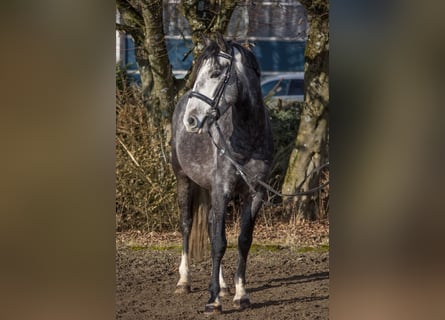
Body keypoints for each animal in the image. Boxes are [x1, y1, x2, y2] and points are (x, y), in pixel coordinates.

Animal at [171, 33, 272, 314]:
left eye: (216, 73)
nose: (191, 121)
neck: (247, 138)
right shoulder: (222, 191)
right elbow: (218, 242)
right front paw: (213, 300)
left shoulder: (255, 194)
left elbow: (242, 241)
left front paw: (240, 294)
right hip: (184, 180)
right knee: (187, 224)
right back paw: (184, 281)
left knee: (209, 226)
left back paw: (224, 286)